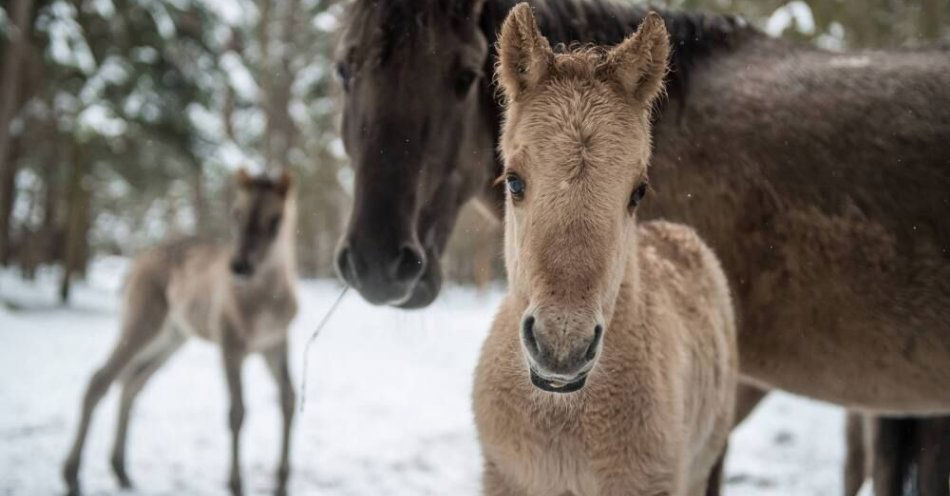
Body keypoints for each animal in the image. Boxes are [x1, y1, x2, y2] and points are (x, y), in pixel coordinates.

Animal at [63, 170, 300, 496]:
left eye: (275, 219)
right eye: (236, 213)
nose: (239, 266)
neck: (264, 302)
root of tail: (139, 260)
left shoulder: (276, 343)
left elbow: (288, 399)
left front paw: (281, 484)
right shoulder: (230, 344)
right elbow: (237, 412)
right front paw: (235, 484)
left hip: (172, 338)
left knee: (132, 383)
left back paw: (121, 471)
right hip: (143, 321)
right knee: (101, 380)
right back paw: (72, 476)